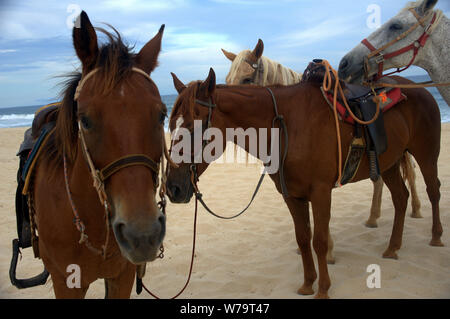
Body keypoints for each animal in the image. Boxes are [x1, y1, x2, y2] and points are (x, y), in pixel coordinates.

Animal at [165, 68, 442, 300]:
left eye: (191, 127)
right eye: (169, 125)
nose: (172, 189)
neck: (287, 125)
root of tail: (422, 89)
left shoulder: (320, 192)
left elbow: (319, 240)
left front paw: (323, 289)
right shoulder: (292, 195)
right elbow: (302, 238)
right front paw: (308, 284)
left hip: (426, 154)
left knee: (433, 191)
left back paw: (436, 237)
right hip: (389, 163)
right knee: (401, 197)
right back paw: (393, 247)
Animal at [225, 39, 422, 232]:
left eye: (247, 78)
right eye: (227, 80)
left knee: (411, 173)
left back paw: (416, 209)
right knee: (380, 179)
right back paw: (374, 217)